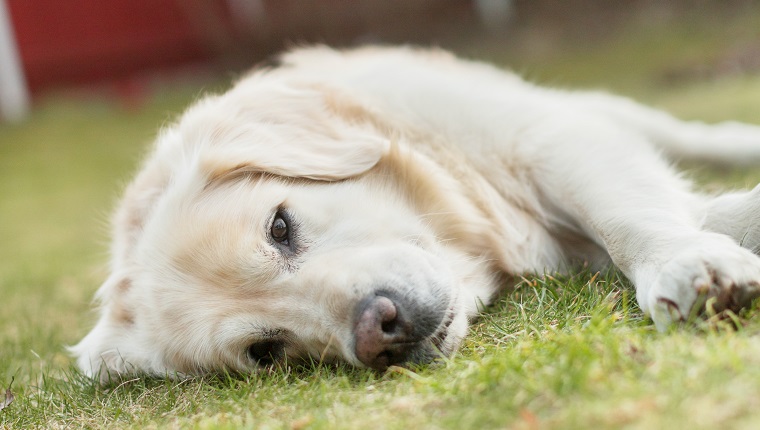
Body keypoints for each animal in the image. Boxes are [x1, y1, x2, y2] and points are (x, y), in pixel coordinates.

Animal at [72, 46, 760, 382]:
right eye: (267, 351)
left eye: (280, 227)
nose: (380, 331)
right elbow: (705, 211)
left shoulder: (544, 140)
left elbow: (628, 217)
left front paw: (682, 265)